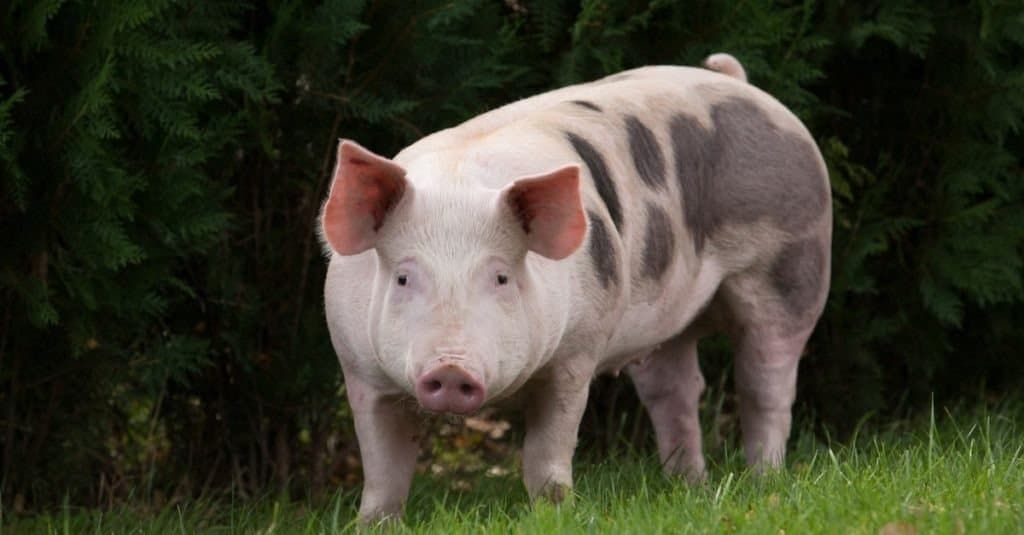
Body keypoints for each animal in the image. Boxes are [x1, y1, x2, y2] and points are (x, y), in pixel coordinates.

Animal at [321, 56, 831, 522]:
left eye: (501, 277)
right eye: (404, 277)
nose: (450, 367)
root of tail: (741, 83)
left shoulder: (575, 355)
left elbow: (547, 451)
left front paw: (553, 513)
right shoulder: (360, 372)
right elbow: (383, 470)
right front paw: (372, 524)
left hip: (792, 268)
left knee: (765, 383)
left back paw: (765, 481)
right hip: (662, 319)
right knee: (677, 389)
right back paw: (688, 486)